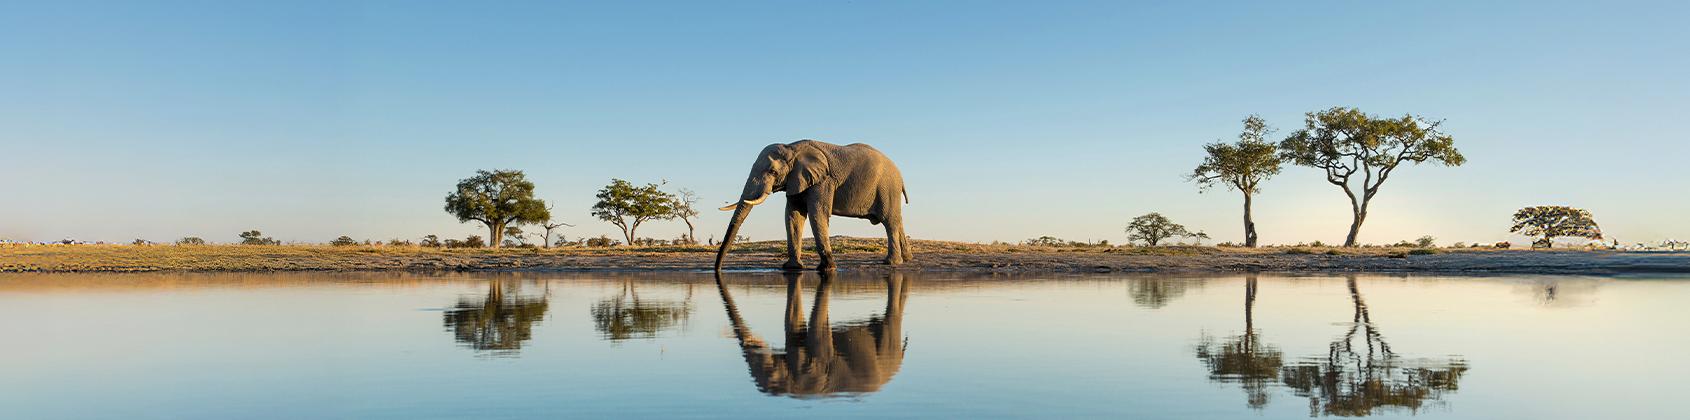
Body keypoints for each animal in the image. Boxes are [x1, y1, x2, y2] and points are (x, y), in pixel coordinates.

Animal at [714, 140, 910, 271]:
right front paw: (792, 268)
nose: (717, 270)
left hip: (887, 188)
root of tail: (900, 175)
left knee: (889, 221)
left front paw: (827, 268)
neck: (792, 148)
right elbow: (793, 216)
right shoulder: (796, 181)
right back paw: (907, 258)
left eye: (772, 172)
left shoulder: (823, 181)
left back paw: (891, 262)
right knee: (897, 220)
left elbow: (818, 213)